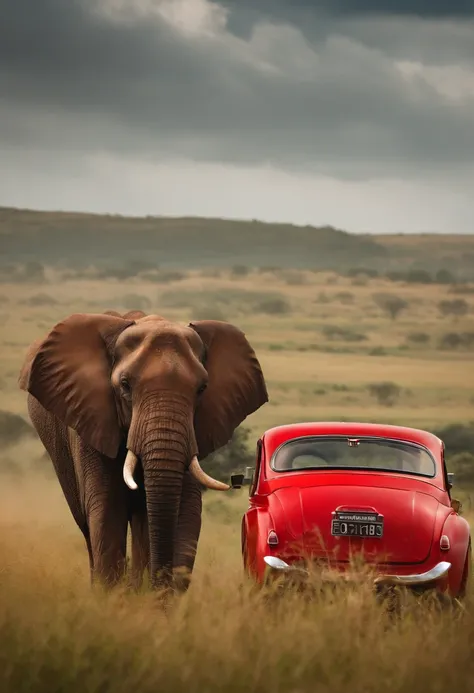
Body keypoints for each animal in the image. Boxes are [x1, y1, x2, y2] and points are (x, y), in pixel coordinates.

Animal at [18, 310, 268, 592]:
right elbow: (106, 511)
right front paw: (114, 597)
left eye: (202, 388)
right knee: (87, 525)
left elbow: (186, 511)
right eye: (125, 385)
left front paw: (152, 597)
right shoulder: (90, 419)